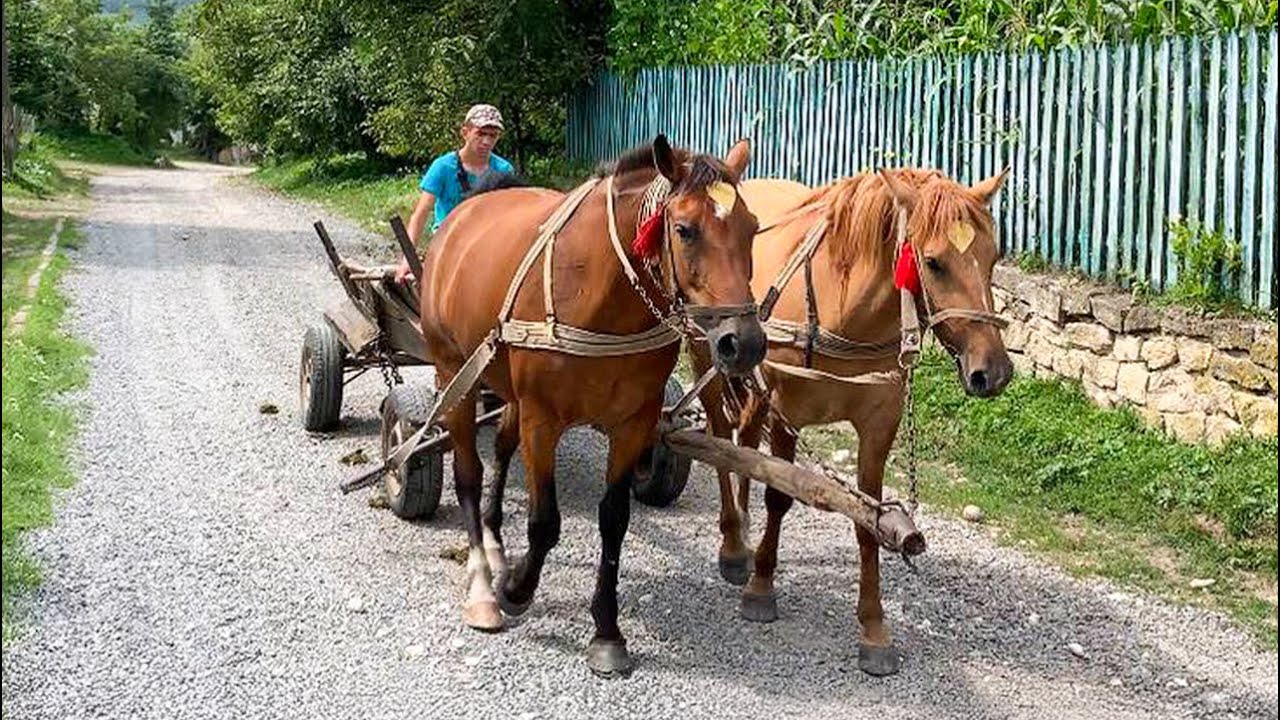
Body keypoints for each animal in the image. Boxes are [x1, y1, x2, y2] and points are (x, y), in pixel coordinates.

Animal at [417, 136, 766, 677]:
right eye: (684, 230)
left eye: (752, 228)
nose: (743, 343)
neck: (599, 292)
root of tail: (462, 218)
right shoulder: (543, 419)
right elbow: (544, 521)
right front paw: (517, 589)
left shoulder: (634, 423)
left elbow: (614, 520)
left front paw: (606, 630)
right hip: (454, 372)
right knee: (469, 473)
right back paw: (483, 586)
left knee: (501, 447)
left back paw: (495, 543)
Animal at [691, 167, 1013, 676]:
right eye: (934, 263)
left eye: (993, 257)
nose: (993, 371)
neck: (843, 309)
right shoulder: (788, 413)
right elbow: (779, 496)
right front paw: (761, 587)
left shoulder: (878, 425)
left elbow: (869, 519)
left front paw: (874, 628)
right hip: (708, 357)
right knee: (722, 443)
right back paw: (733, 544)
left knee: (744, 444)